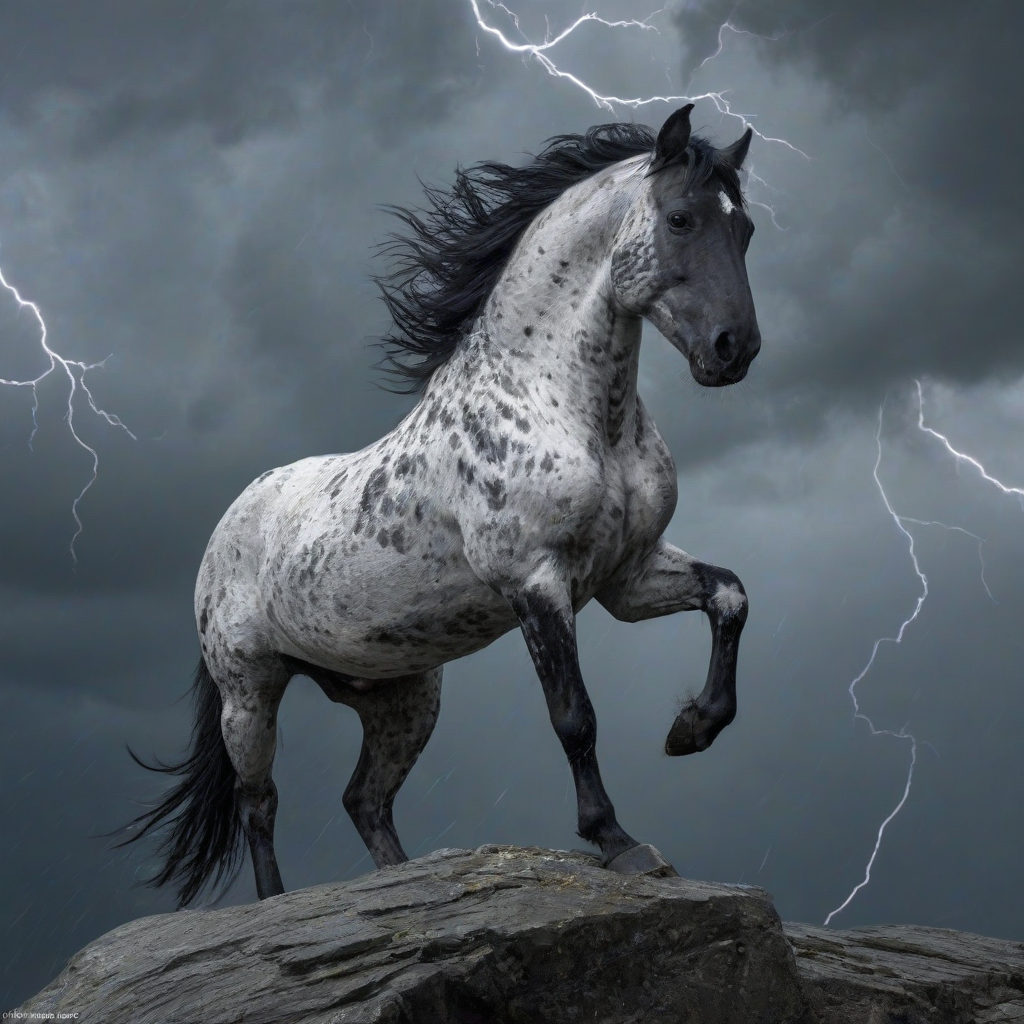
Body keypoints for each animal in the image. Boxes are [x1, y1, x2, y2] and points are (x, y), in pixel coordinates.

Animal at [115, 103, 761, 906]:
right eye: (679, 218)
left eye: (746, 229)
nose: (735, 349)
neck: (569, 410)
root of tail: (225, 526)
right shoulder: (536, 583)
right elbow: (574, 717)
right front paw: (619, 842)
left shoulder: (626, 578)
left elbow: (730, 596)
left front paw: (690, 730)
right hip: (249, 690)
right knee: (258, 801)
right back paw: (276, 901)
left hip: (403, 698)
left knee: (363, 799)